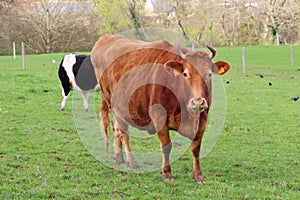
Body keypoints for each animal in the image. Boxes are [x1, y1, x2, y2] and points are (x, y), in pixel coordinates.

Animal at [91, 34, 230, 184]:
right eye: (185, 74)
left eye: (209, 74)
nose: (198, 102)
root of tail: (106, 38)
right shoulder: (159, 117)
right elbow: (166, 146)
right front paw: (167, 174)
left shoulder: (202, 118)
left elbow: (196, 149)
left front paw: (198, 176)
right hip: (113, 103)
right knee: (123, 133)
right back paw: (132, 162)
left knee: (117, 128)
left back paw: (119, 158)